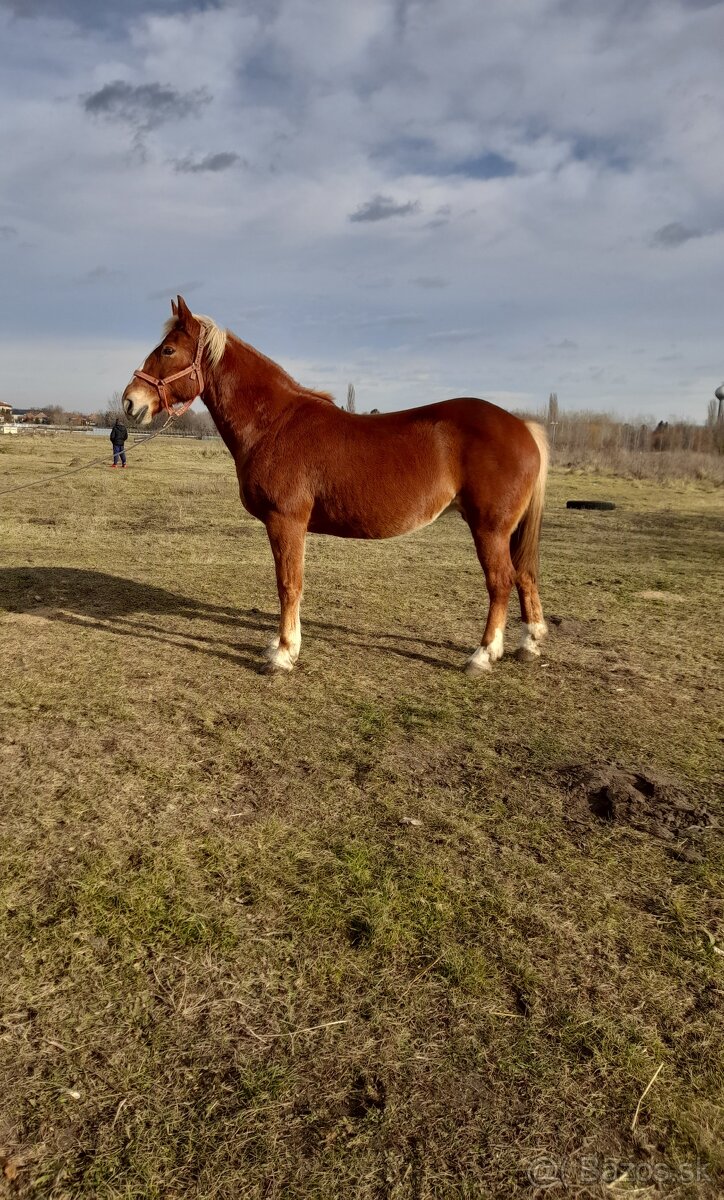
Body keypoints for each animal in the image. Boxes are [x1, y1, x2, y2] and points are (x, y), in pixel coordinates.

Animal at [121, 294, 549, 676]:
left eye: (168, 350)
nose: (129, 403)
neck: (274, 424)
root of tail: (521, 426)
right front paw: (280, 646)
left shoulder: (286, 522)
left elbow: (289, 584)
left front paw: (283, 654)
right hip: (506, 530)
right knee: (524, 575)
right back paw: (528, 644)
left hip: (489, 529)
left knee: (501, 581)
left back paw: (483, 655)